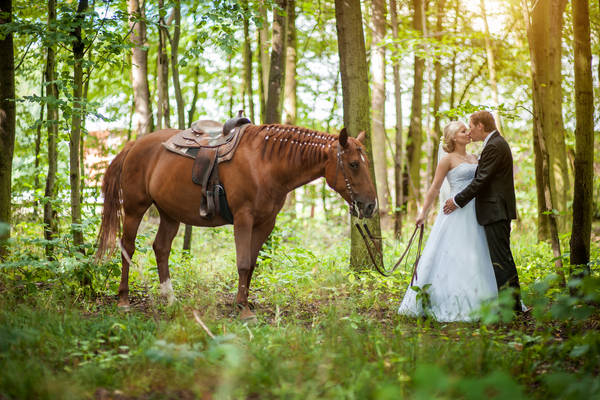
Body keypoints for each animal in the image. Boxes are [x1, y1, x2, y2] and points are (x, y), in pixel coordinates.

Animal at [96, 123, 378, 318]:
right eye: (354, 164)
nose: (370, 205)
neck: (265, 163)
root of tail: (133, 145)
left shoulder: (265, 223)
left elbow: (251, 264)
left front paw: (242, 302)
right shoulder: (244, 218)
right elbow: (242, 263)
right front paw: (244, 311)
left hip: (169, 214)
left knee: (161, 248)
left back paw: (171, 299)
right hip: (134, 208)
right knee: (127, 248)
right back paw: (123, 301)